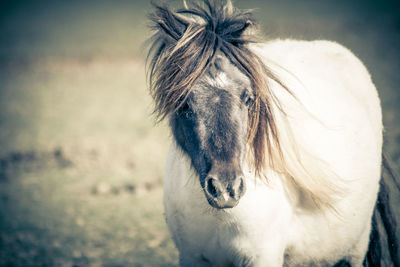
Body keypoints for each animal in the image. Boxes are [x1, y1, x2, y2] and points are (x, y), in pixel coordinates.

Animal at [147, 1, 400, 266]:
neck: (219, 218)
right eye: (184, 104)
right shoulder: (191, 257)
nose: (226, 189)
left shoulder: (263, 257)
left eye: (248, 98)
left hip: (354, 250)